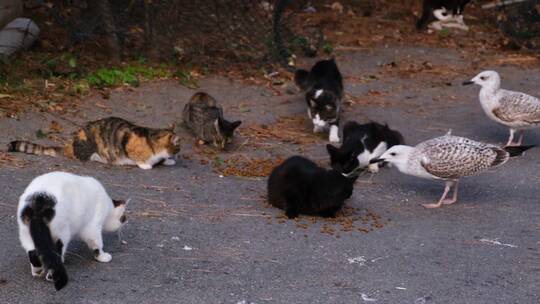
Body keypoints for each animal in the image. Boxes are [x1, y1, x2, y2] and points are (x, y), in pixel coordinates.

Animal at [8, 116, 180, 170]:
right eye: (179, 146)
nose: (178, 154)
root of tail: (69, 145)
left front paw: (167, 161)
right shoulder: (128, 143)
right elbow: (139, 158)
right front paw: (146, 165)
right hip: (90, 145)